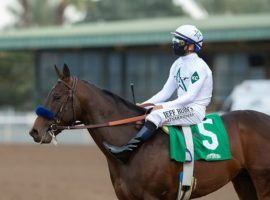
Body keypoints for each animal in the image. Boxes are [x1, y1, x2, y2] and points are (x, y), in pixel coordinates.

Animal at [29, 65, 270, 199]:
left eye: (57, 96)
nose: (35, 131)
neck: (129, 150)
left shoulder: (152, 196)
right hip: (243, 179)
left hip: (262, 179)